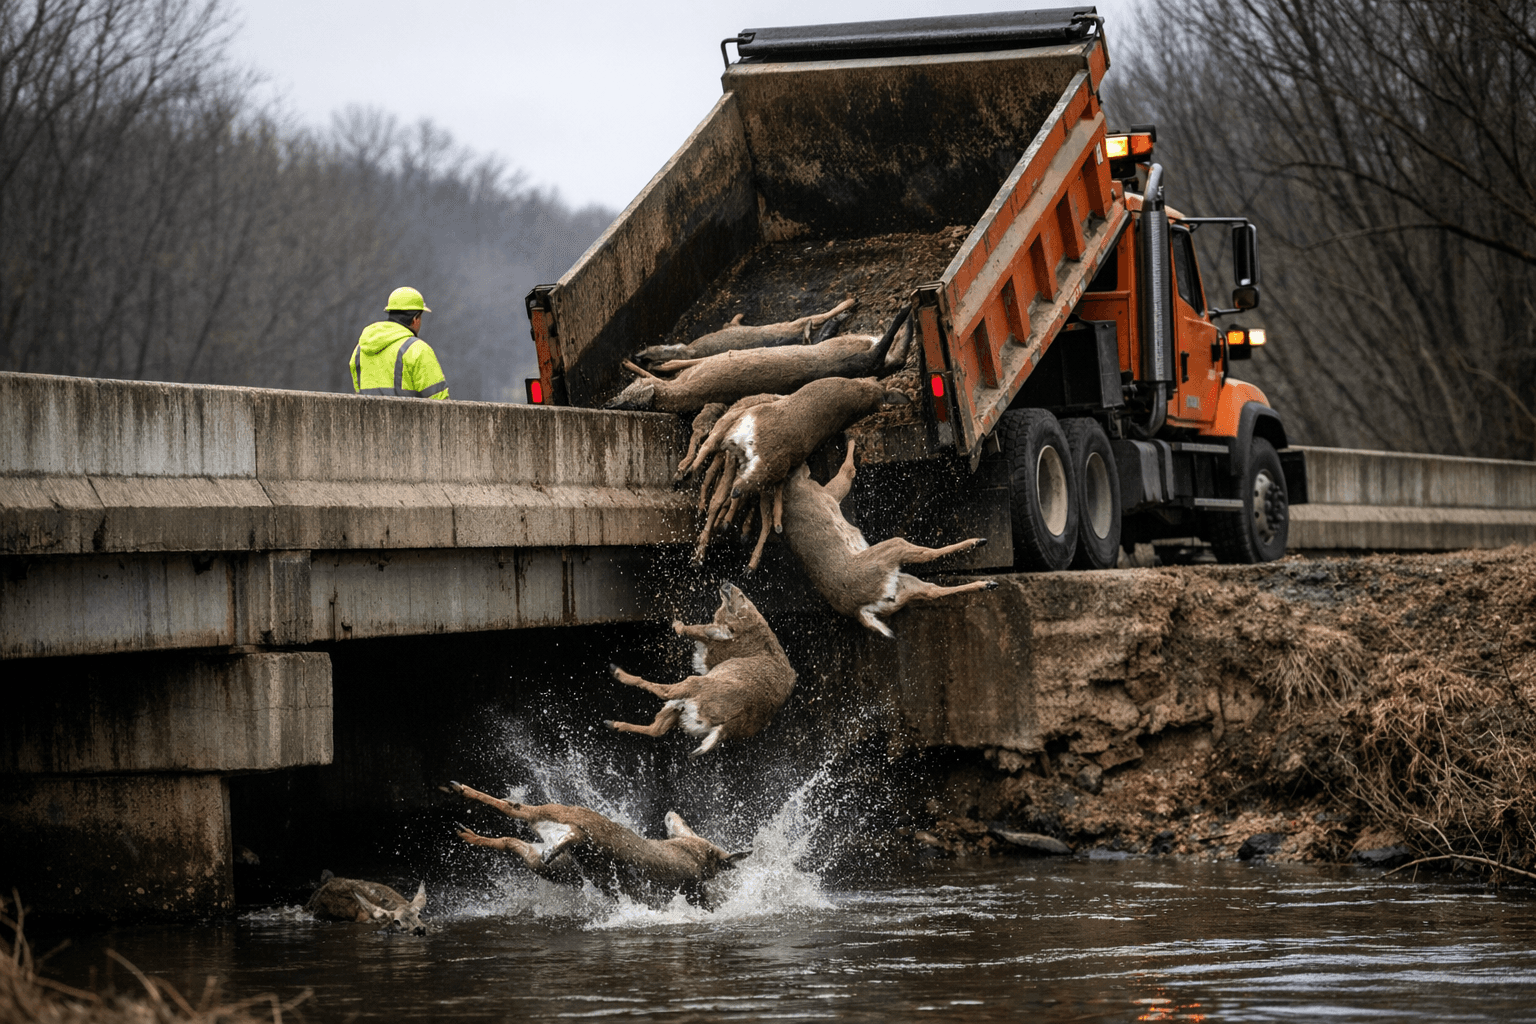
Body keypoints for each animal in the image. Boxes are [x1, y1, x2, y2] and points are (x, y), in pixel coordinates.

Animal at [441, 780, 749, 908]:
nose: (671, 813)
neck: (698, 857)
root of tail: (576, 834)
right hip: (567, 814)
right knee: (514, 807)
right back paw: (457, 790)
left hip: (544, 859)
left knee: (510, 835)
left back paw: (465, 830)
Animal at [605, 306, 913, 414]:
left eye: (627, 392)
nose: (609, 403)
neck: (680, 394)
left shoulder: (698, 367)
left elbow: (665, 367)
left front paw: (633, 362)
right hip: (857, 350)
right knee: (892, 354)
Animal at [606, 581, 795, 756]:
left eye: (741, 597)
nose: (728, 585)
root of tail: (728, 725)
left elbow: (692, 630)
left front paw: (677, 624)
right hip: (683, 709)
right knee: (657, 728)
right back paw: (612, 724)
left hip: (693, 686)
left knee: (663, 694)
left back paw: (617, 673)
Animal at [781, 440, 998, 637]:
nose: (805, 459)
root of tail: (860, 609)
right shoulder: (827, 492)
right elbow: (848, 470)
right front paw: (853, 441)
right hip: (890, 550)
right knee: (926, 556)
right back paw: (979, 545)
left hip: (902, 587)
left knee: (932, 590)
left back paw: (988, 583)